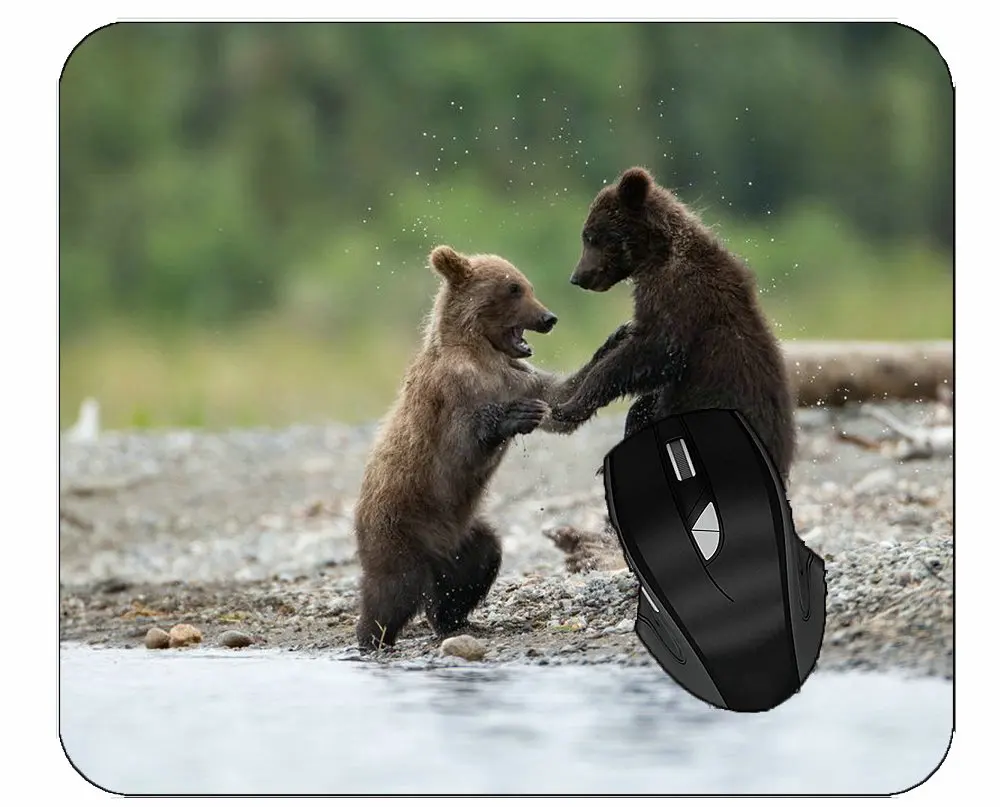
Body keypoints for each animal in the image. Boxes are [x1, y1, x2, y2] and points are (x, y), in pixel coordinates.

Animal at [353, 245, 567, 651]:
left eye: (527, 284)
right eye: (514, 288)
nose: (548, 318)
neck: (481, 350)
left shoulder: (516, 376)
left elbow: (559, 396)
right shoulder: (453, 389)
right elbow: (464, 440)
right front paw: (520, 415)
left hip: (463, 537)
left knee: (476, 565)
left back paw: (453, 621)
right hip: (400, 526)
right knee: (394, 588)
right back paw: (373, 635)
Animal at [550, 165, 796, 484]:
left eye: (591, 236)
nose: (578, 277)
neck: (657, 253)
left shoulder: (679, 297)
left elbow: (654, 351)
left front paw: (568, 406)